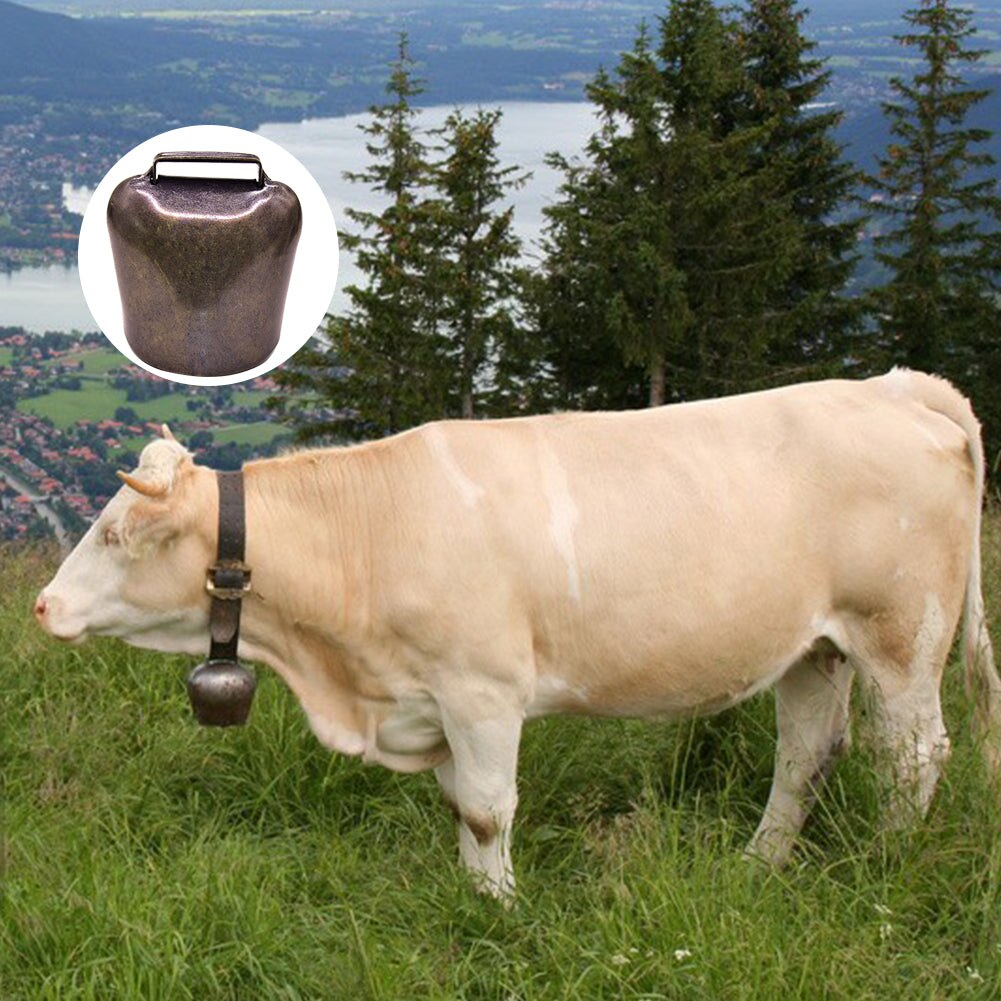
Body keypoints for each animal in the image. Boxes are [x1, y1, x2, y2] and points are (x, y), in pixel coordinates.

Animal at [34, 369, 1001, 898]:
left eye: (114, 534)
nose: (42, 604)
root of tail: (894, 386)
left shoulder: (483, 691)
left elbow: (490, 809)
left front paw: (500, 908)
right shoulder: (433, 700)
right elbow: (460, 806)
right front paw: (472, 896)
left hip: (900, 635)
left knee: (913, 754)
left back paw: (884, 865)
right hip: (813, 646)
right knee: (805, 754)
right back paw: (757, 867)